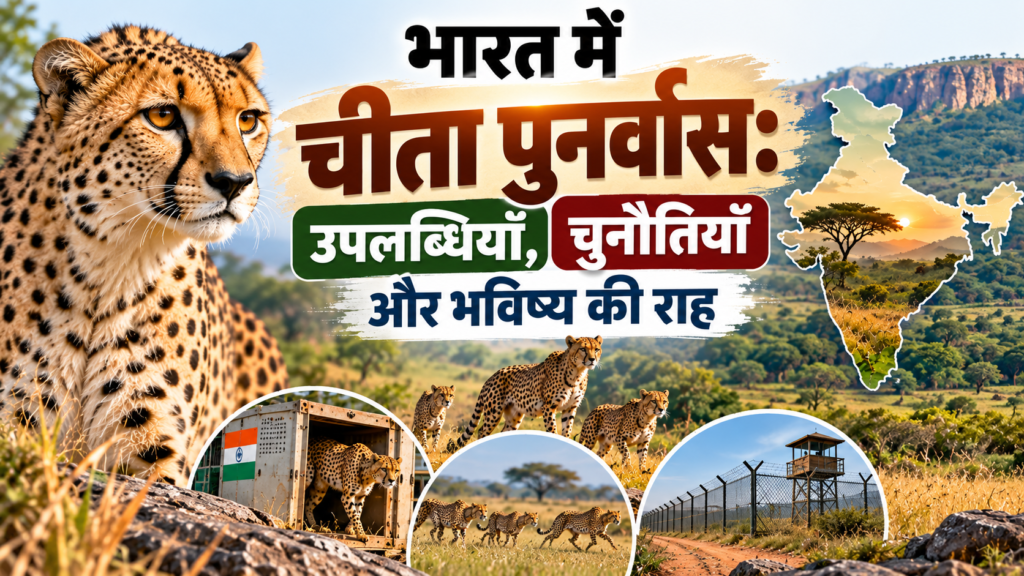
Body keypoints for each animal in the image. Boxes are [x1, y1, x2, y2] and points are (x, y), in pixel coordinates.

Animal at [0, 25, 286, 487]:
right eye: (163, 116)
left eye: (248, 120)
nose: (235, 182)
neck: (107, 264)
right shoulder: (18, 421)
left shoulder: (153, 449)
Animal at [455, 336, 601, 449]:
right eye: (583, 349)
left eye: (597, 349)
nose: (592, 359)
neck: (577, 372)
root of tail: (491, 376)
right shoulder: (549, 406)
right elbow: (553, 429)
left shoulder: (570, 408)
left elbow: (567, 430)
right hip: (493, 413)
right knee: (481, 432)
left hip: (514, 416)